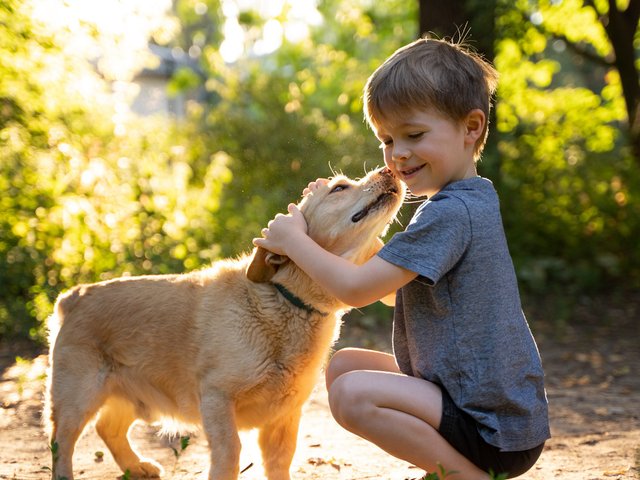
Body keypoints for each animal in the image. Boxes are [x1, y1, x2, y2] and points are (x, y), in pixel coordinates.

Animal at [45, 167, 404, 478]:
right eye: (339, 188)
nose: (390, 170)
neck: (286, 302)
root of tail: (74, 295)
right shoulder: (217, 398)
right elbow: (231, 452)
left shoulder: (285, 415)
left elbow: (280, 461)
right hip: (77, 398)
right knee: (61, 443)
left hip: (133, 397)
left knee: (108, 428)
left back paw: (137, 466)